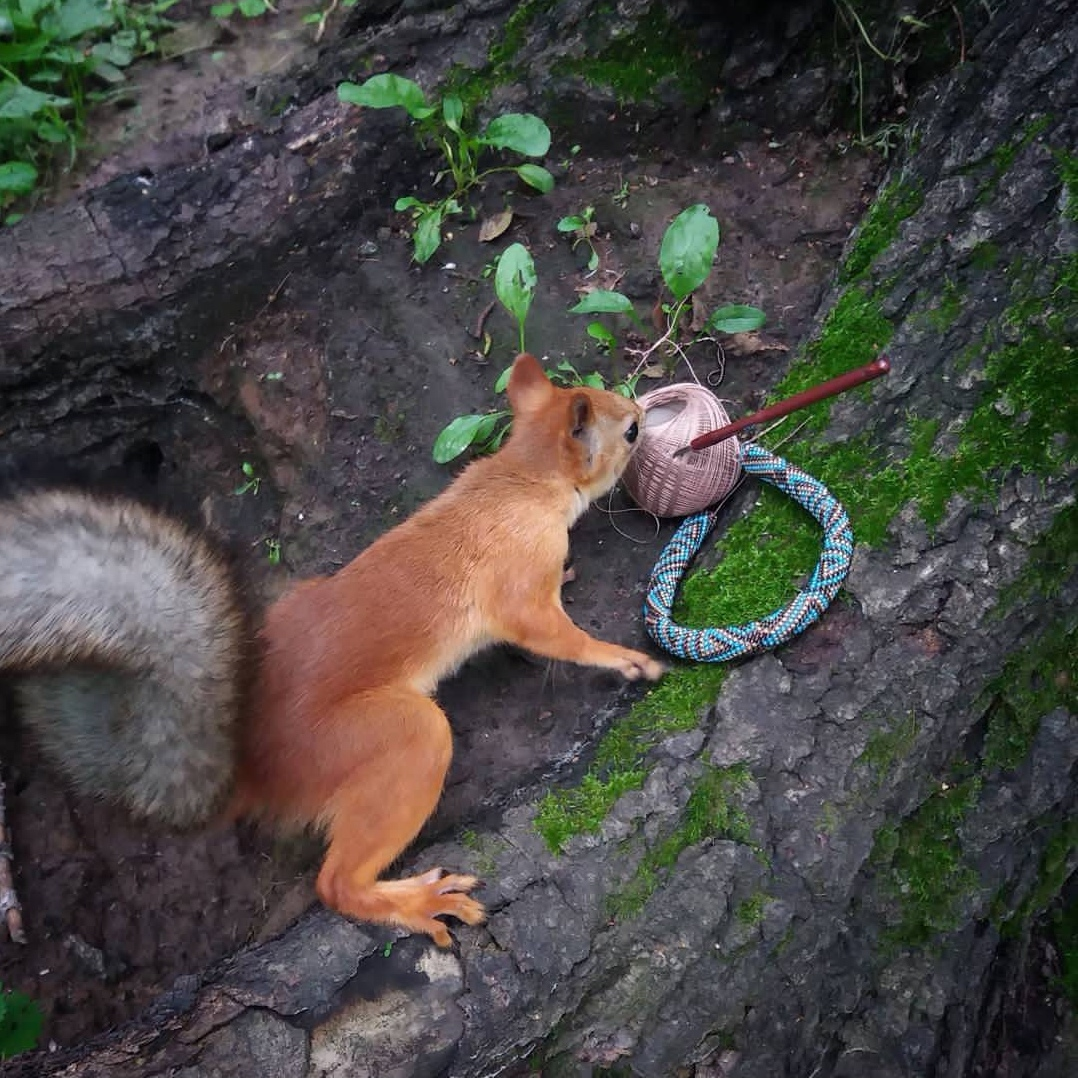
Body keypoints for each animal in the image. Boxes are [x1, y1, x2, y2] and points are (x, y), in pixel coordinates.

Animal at [0, 353, 664, 944]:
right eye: (627, 430)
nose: (642, 411)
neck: (521, 479)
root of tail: (253, 764)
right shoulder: (519, 583)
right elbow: (555, 636)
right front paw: (623, 658)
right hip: (402, 739)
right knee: (336, 884)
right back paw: (418, 902)